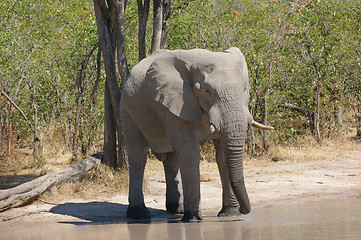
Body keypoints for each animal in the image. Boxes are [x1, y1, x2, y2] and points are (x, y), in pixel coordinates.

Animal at [119, 46, 272, 221]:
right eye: (207, 91)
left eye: (245, 89)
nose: (244, 210)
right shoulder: (175, 102)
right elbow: (189, 152)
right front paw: (193, 219)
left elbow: (222, 155)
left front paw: (229, 214)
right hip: (127, 109)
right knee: (138, 155)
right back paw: (139, 214)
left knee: (171, 158)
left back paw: (177, 209)